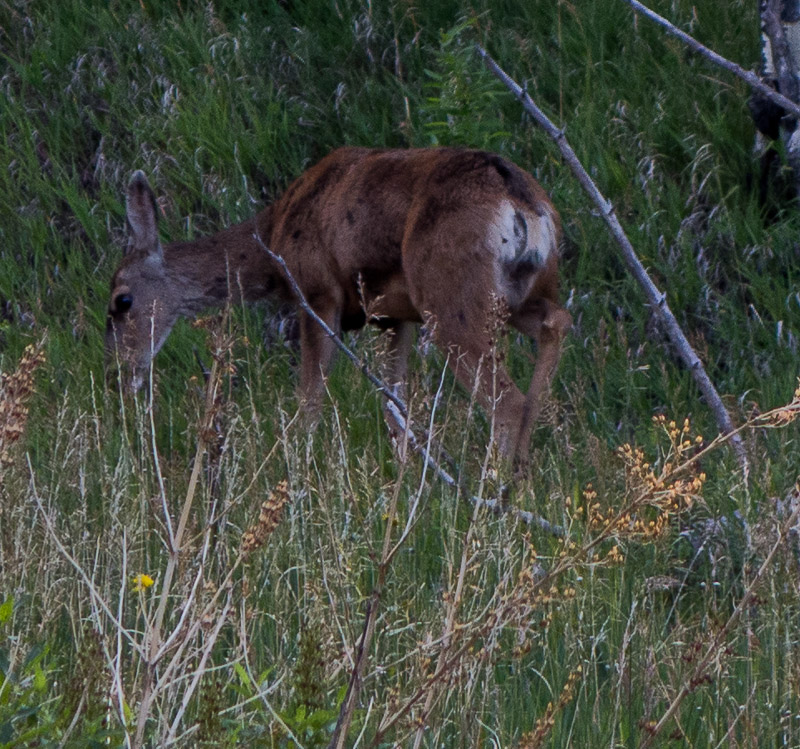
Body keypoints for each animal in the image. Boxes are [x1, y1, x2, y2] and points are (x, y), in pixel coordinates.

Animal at [106, 147, 572, 466]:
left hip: (449, 296)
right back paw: (520, 479)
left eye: (121, 301)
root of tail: (522, 203)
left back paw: (495, 497)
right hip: (523, 291)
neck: (272, 237)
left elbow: (310, 398)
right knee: (557, 323)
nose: (120, 375)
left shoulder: (317, 293)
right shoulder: (394, 315)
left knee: (507, 401)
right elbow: (395, 406)